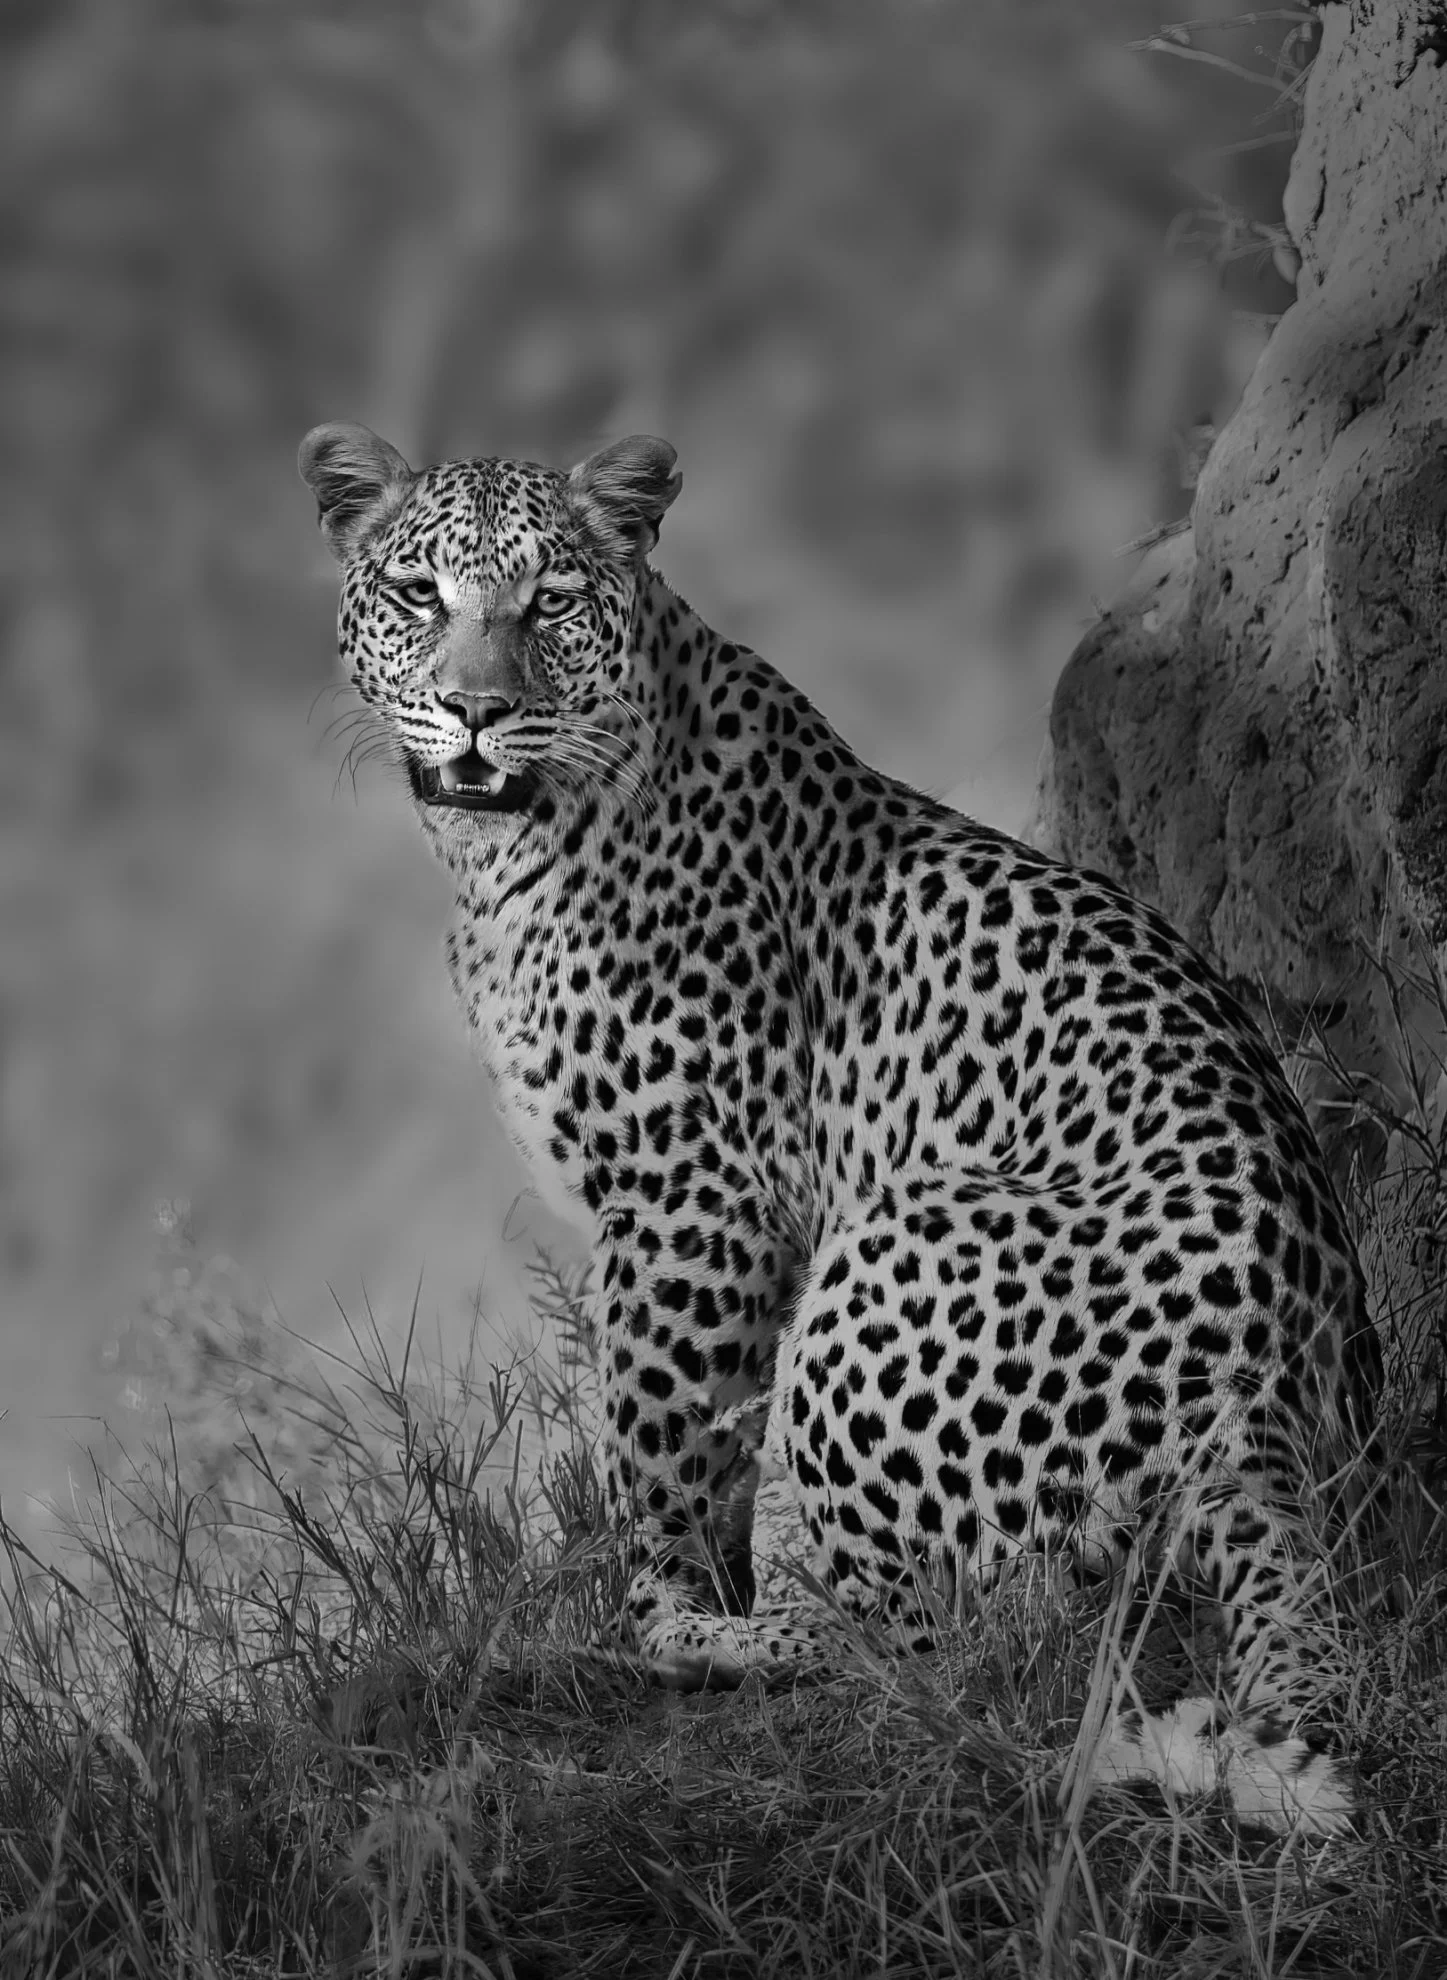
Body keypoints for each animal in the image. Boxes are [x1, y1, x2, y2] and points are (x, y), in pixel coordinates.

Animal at [299, 422, 1381, 1834]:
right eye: (419, 595)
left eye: (552, 602)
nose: (475, 707)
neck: (499, 855)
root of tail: (1265, 1410)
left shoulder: (694, 1204)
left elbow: (663, 1444)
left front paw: (662, 1604)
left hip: (889, 1248)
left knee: (924, 1643)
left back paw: (690, 1647)